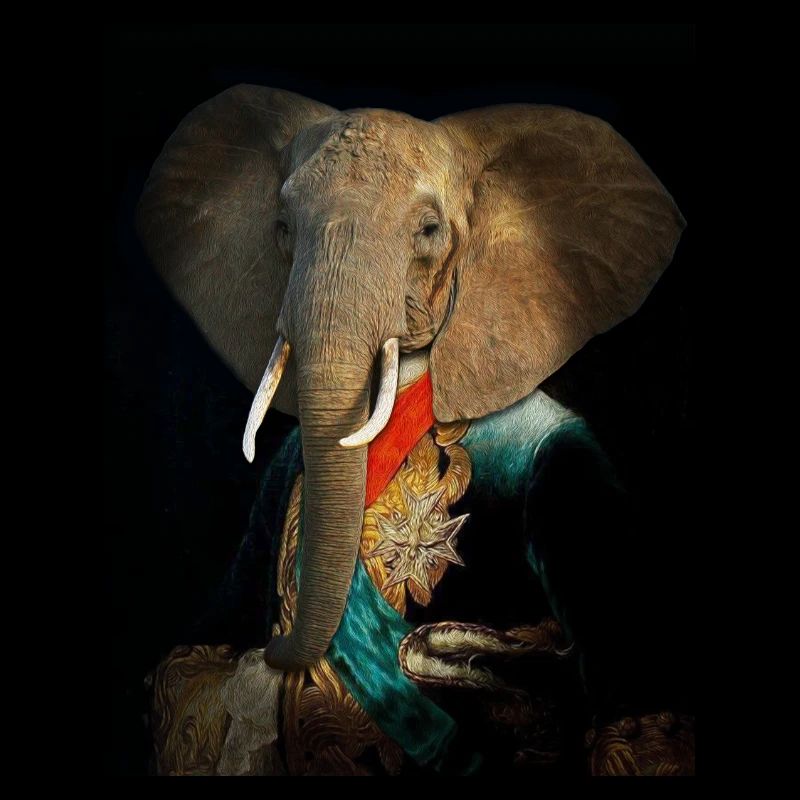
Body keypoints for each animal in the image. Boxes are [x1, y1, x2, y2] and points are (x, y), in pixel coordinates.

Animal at [137, 85, 690, 775]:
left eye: (428, 230)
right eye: (283, 229)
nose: (279, 642)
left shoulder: (573, 473)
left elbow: (634, 721)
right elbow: (188, 659)